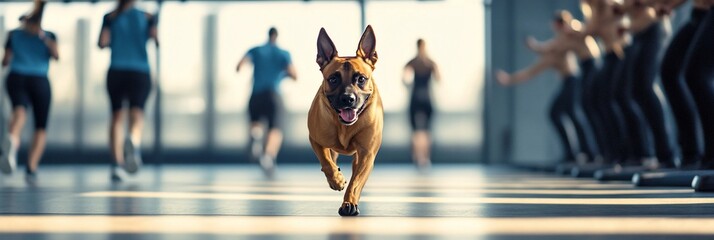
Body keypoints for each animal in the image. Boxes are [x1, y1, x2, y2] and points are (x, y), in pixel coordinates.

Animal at [308, 25, 384, 217]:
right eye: (333, 79)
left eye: (361, 79)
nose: (348, 99)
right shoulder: (316, 140)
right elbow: (326, 162)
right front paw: (336, 180)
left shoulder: (366, 154)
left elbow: (355, 182)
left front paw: (349, 202)